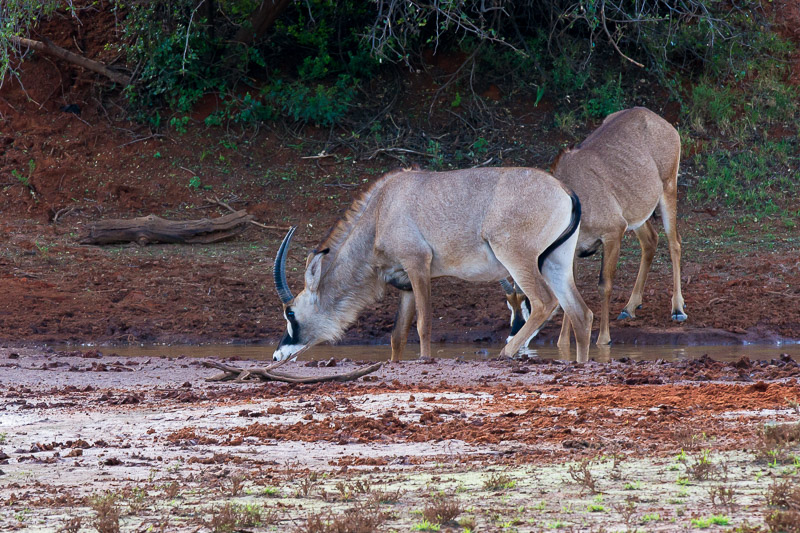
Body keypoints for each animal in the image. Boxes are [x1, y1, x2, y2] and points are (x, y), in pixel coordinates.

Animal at [276, 168, 592, 364]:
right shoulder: (404, 282)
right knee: (581, 313)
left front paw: (425, 359)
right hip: (556, 262)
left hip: (517, 258)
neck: (380, 210)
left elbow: (423, 324)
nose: (277, 356)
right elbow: (397, 335)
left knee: (545, 302)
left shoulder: (418, 265)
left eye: (290, 312)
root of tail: (565, 191)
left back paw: (506, 353)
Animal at [506, 108, 688, 350]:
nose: (512, 336)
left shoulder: (613, 234)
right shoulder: (572, 249)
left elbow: (605, 285)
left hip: (668, 189)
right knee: (650, 240)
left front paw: (603, 339)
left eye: (529, 301)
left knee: (674, 242)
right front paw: (563, 343)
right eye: (510, 303)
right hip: (637, 212)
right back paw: (629, 307)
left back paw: (677, 309)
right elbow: (570, 289)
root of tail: (653, 116)